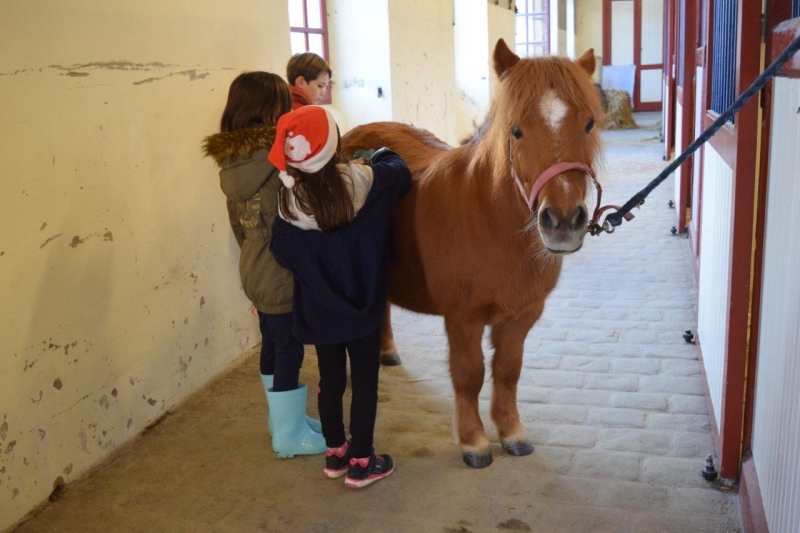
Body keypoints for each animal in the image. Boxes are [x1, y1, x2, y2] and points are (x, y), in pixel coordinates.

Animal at [342, 39, 600, 468]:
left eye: (589, 124)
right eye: (516, 130)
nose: (563, 220)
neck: (491, 220)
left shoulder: (522, 315)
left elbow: (508, 371)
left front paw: (512, 433)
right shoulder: (463, 318)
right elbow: (469, 374)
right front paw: (474, 441)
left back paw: (388, 351)